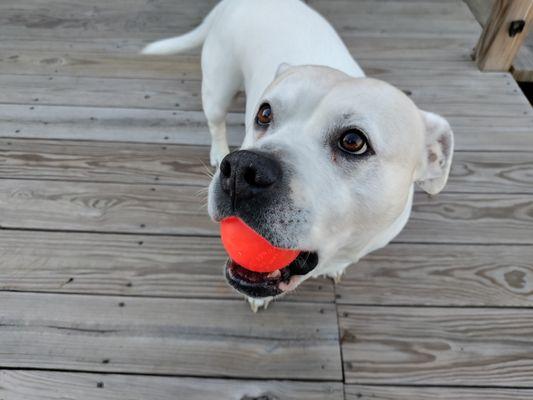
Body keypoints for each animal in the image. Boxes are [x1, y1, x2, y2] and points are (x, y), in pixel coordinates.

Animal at [142, 0, 454, 312]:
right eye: (264, 113)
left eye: (354, 141)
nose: (242, 169)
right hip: (217, 88)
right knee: (216, 120)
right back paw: (219, 150)